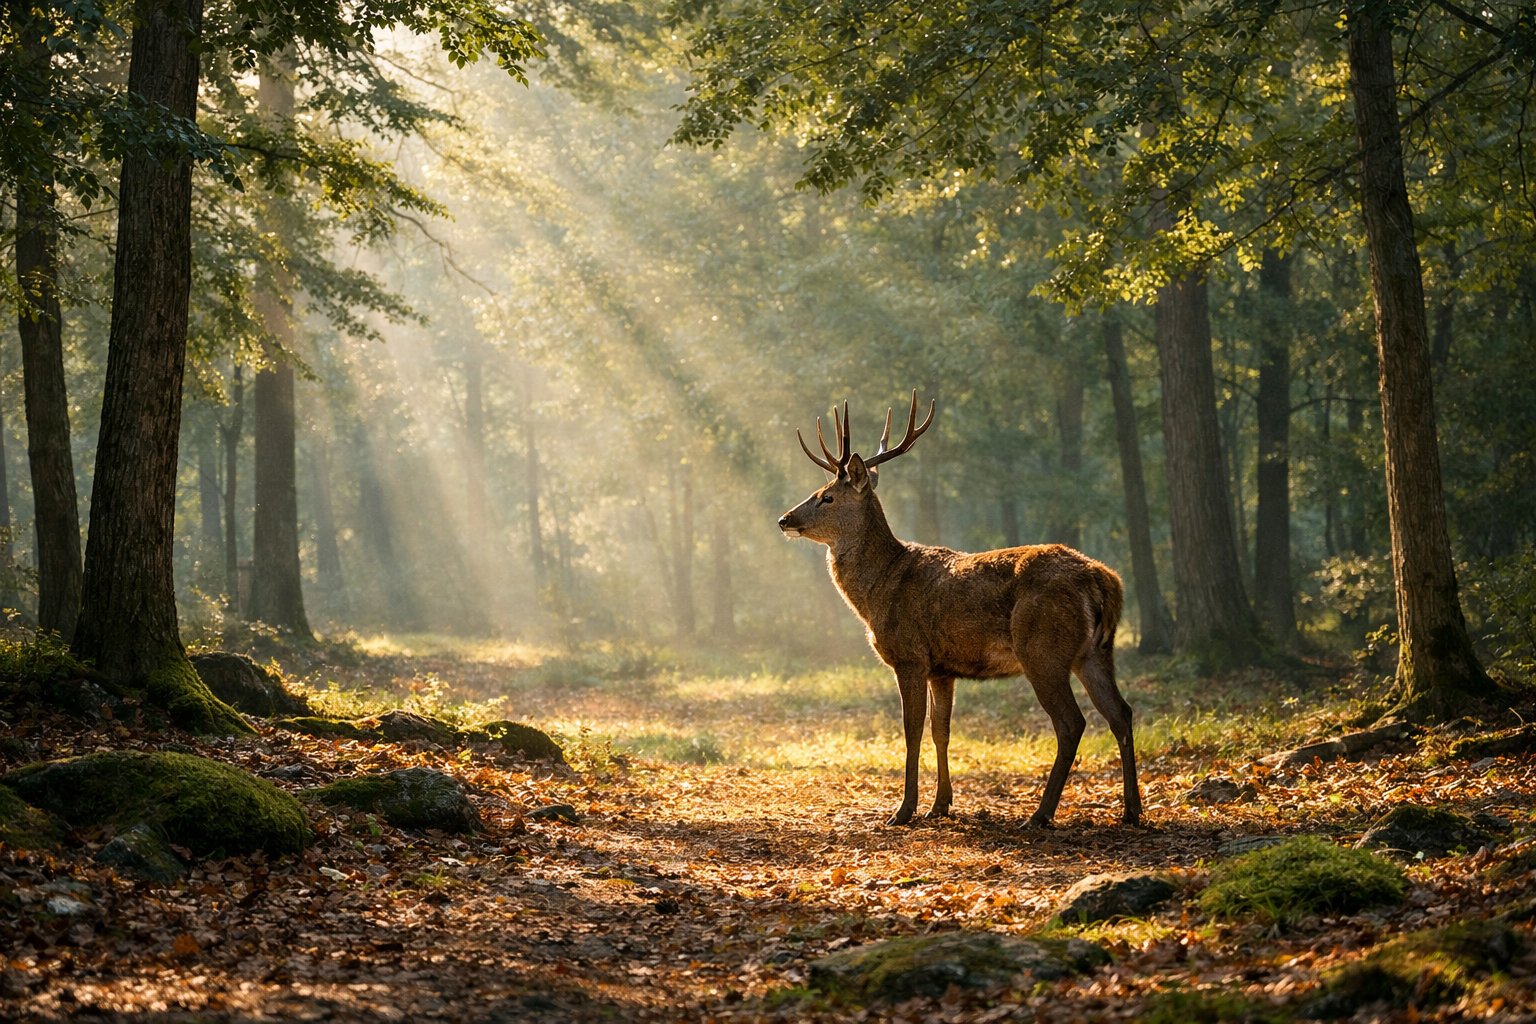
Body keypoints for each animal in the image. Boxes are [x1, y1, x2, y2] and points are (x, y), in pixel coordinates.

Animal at [777, 391, 1141, 828]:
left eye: (826, 496)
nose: (784, 519)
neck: (878, 589)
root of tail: (1106, 582)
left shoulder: (910, 656)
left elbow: (912, 729)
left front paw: (904, 809)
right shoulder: (942, 668)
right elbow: (942, 730)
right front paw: (941, 805)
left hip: (1043, 648)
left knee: (1072, 722)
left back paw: (1040, 814)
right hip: (1096, 652)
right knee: (1121, 713)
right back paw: (1131, 811)